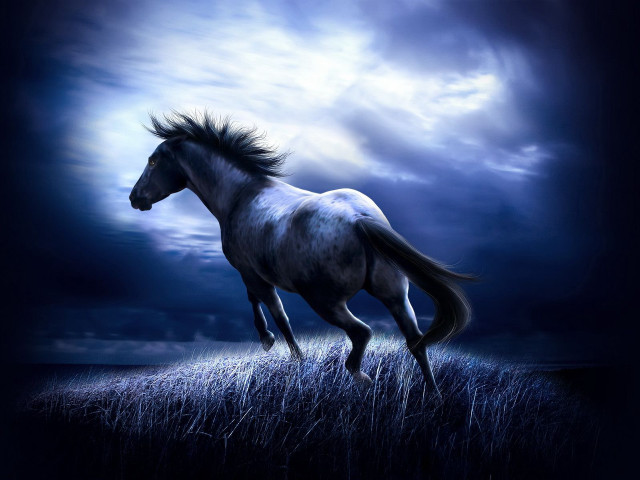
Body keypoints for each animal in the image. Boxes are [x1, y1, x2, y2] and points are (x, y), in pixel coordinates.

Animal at [130, 111, 473, 393]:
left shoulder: (252, 273)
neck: (241, 195)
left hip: (325, 301)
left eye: (153, 161)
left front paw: (284, 350)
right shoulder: (254, 275)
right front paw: (275, 345)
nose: (135, 198)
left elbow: (276, 313)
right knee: (416, 342)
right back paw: (433, 395)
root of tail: (361, 220)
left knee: (362, 333)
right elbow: (262, 305)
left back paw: (361, 377)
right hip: (396, 296)